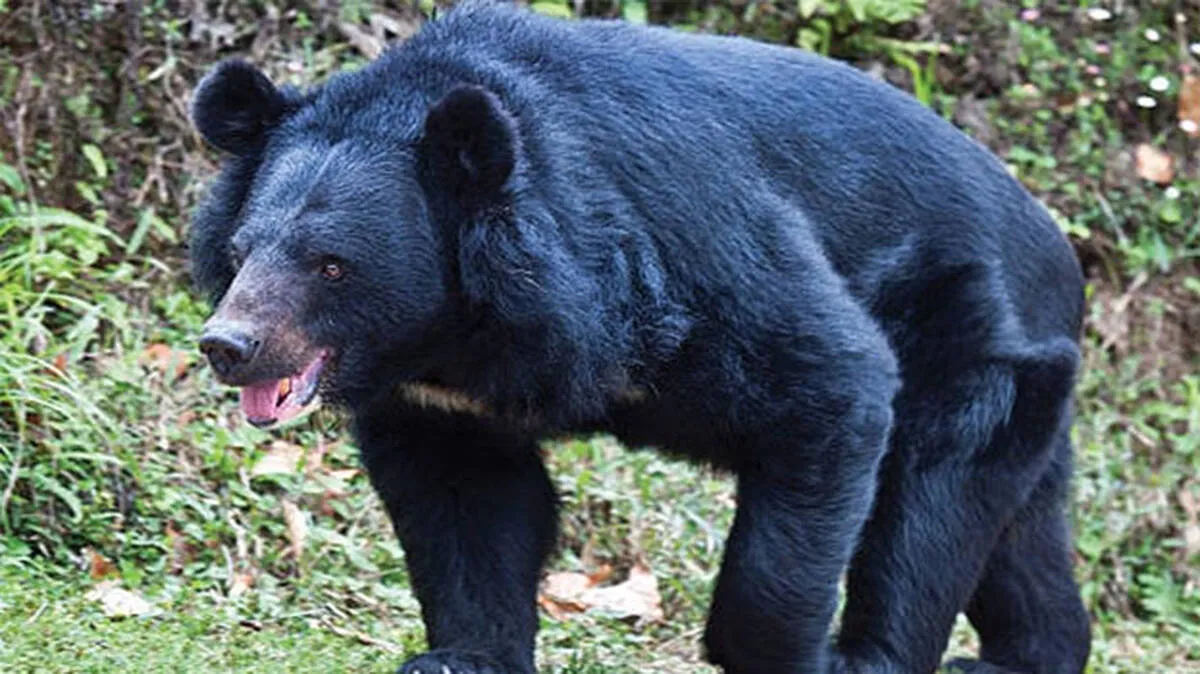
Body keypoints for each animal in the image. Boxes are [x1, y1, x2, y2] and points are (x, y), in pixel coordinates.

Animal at [188, 2, 1092, 673]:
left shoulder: (689, 251)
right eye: (240, 251)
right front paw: (461, 656)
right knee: (1018, 529)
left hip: (972, 343)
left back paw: (876, 657)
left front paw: (782, 654)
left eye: (332, 265)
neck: (455, 331)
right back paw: (1025, 656)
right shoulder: (442, 402)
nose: (229, 345)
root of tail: (1059, 251)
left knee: (928, 509)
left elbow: (830, 381)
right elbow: (464, 506)